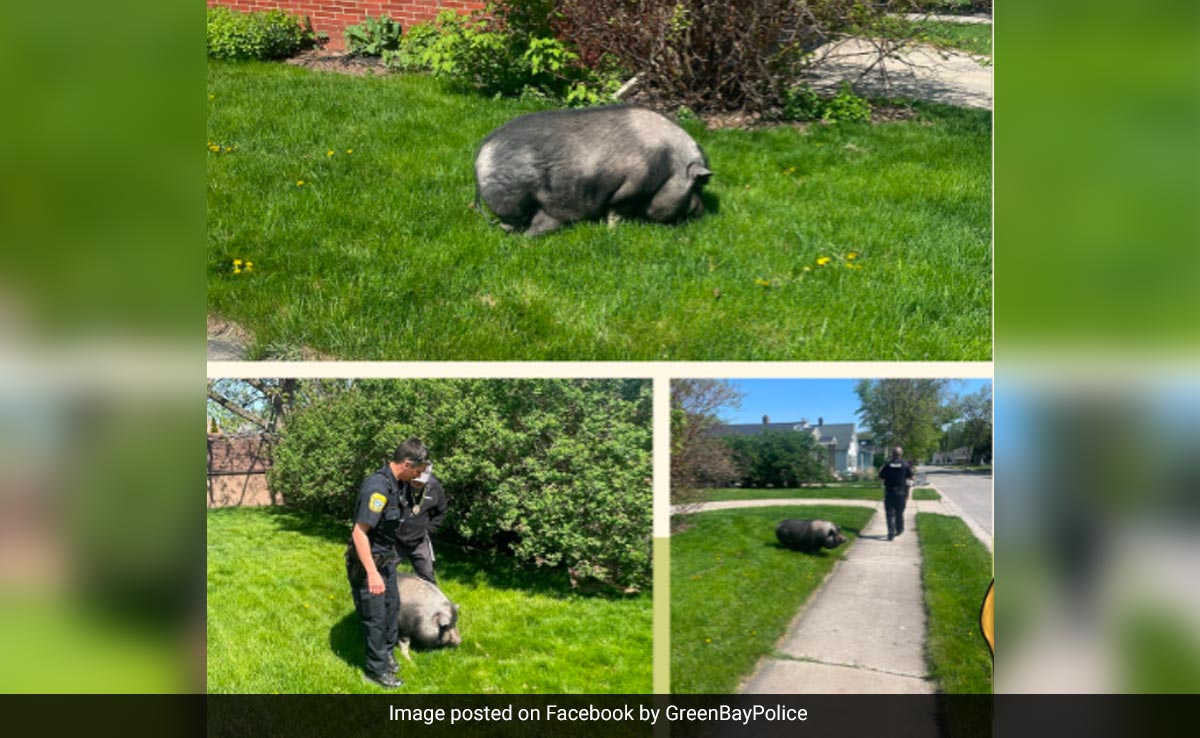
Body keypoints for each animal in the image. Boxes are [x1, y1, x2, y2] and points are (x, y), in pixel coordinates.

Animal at [474, 105, 712, 236]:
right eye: (697, 185)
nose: (701, 211)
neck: (668, 166)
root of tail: (480, 155)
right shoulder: (632, 185)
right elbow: (616, 210)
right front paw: (613, 229)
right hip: (512, 199)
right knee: (512, 223)